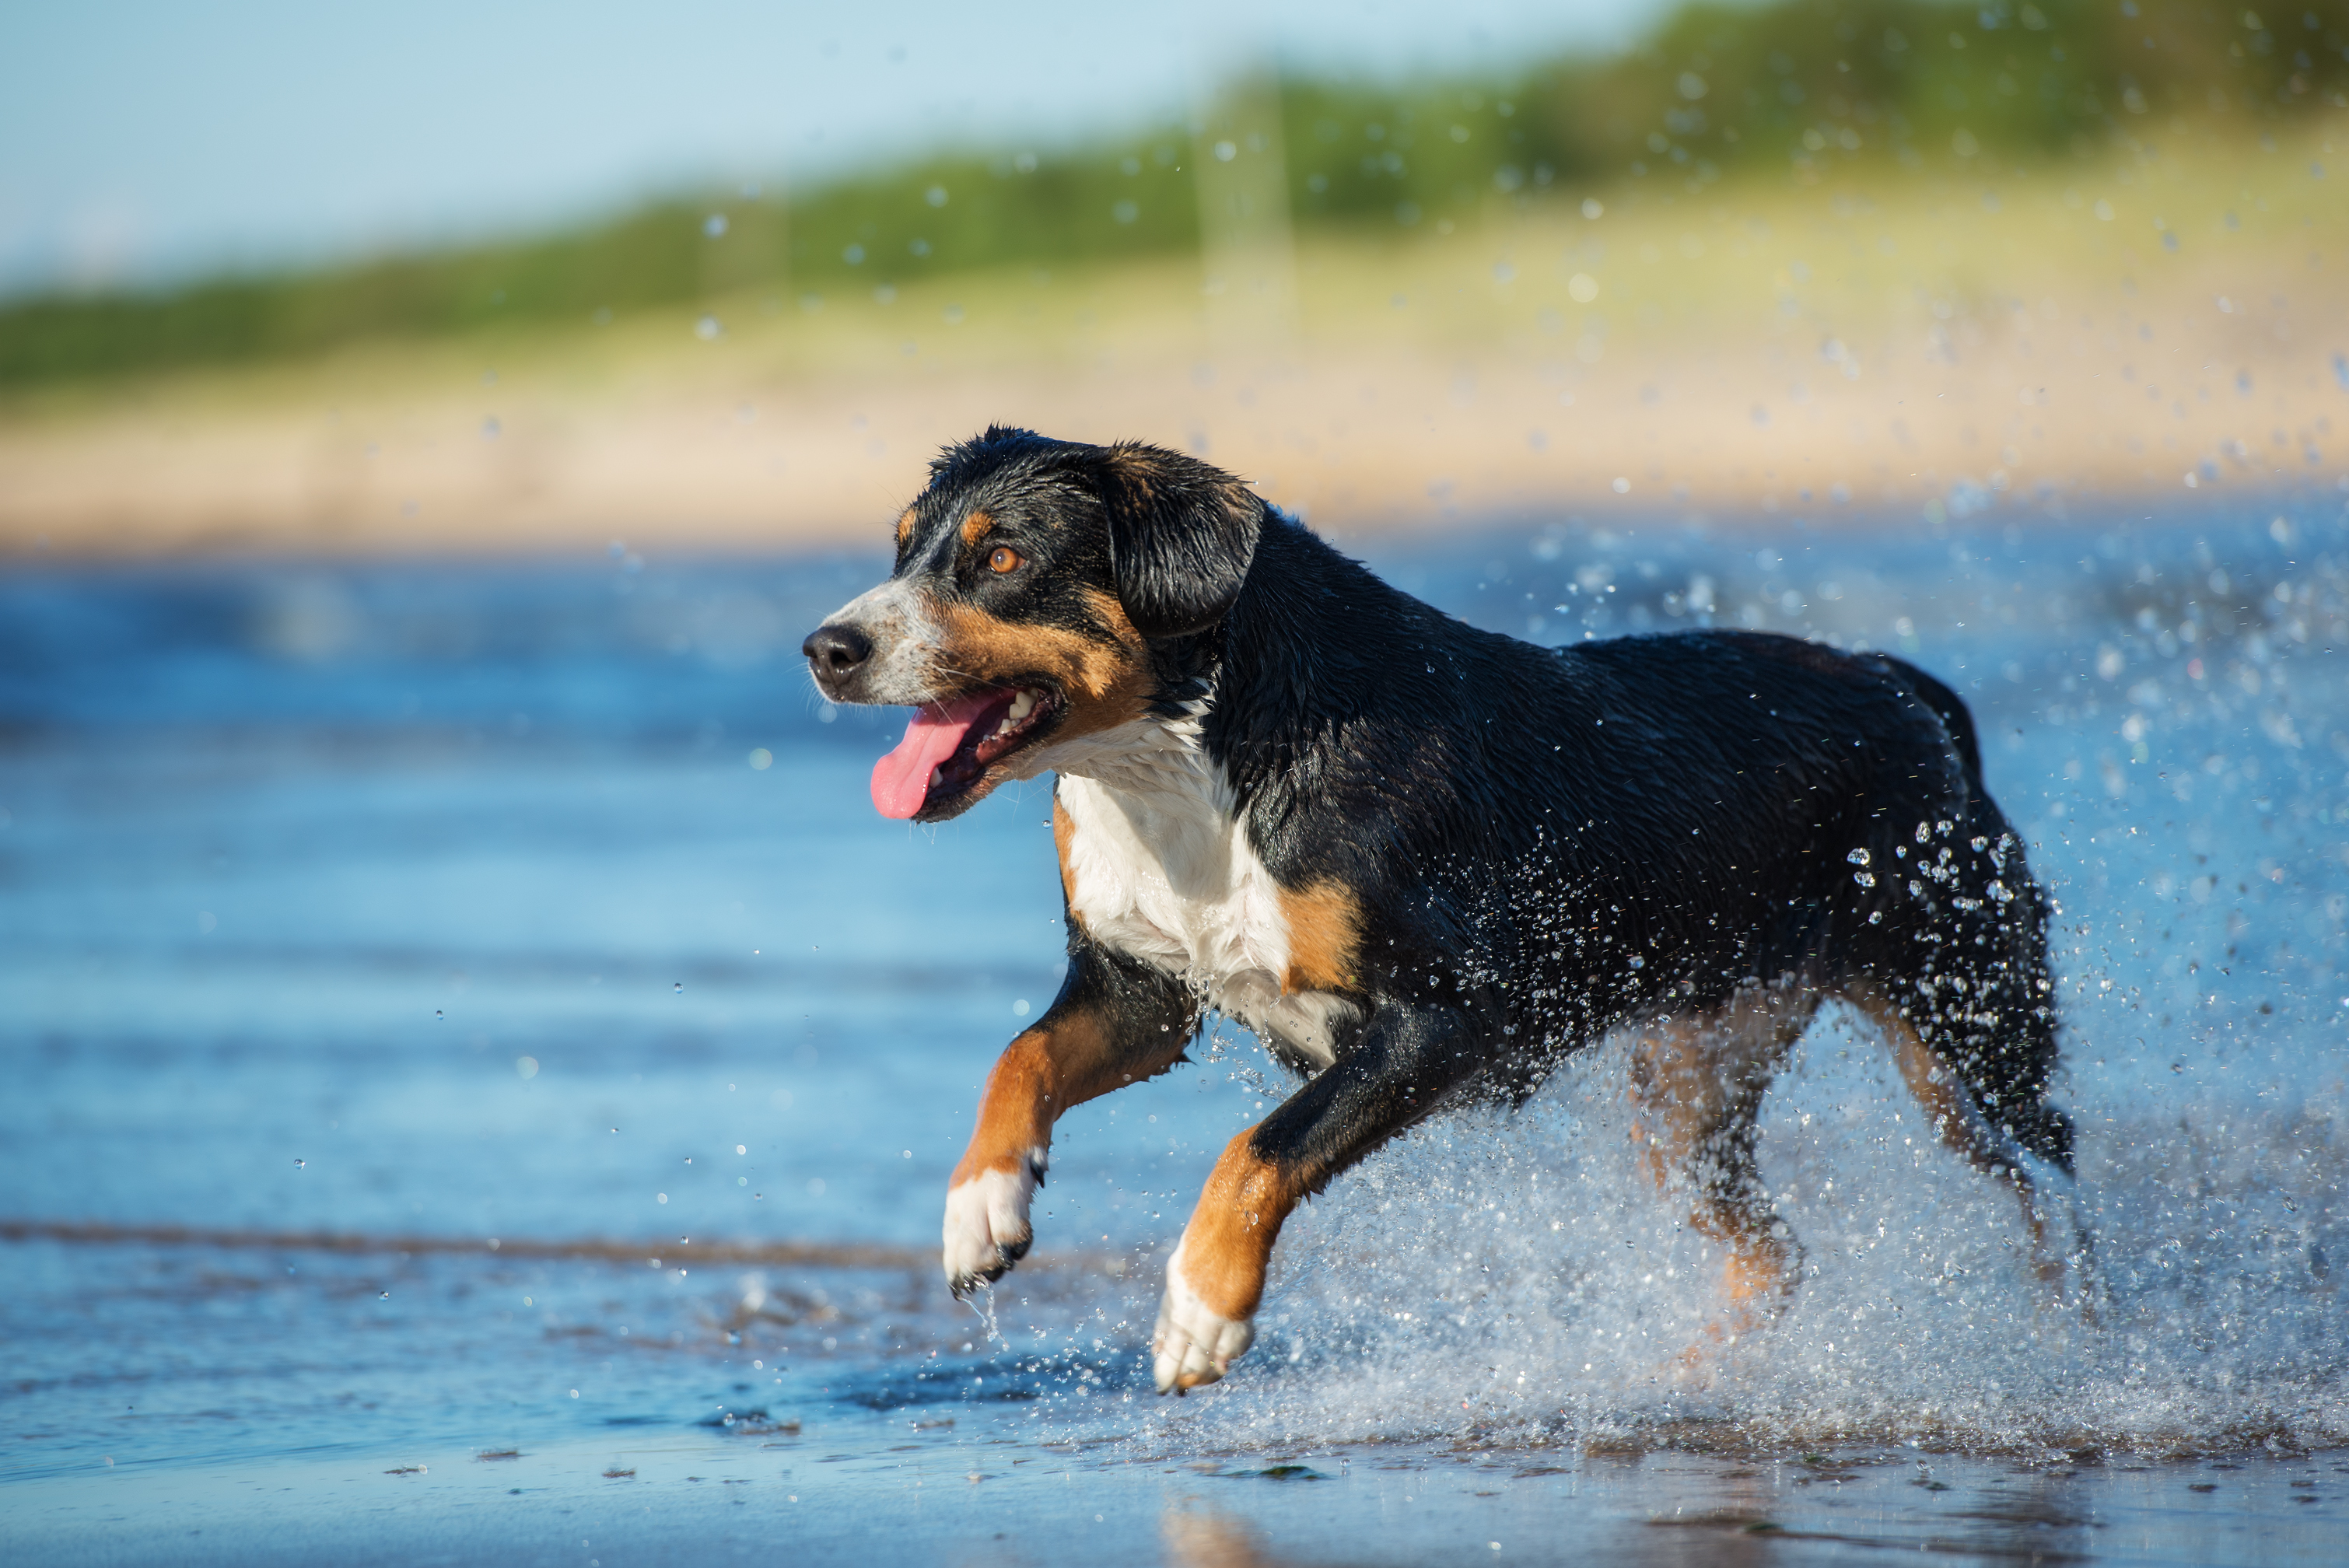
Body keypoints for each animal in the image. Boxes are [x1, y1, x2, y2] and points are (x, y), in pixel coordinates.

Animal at [803, 429, 2095, 1398]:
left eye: (1004, 556)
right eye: (906, 548)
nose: (827, 647)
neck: (1186, 766)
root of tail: (1901, 686)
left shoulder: (1447, 1019)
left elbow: (1256, 1151)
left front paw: (1199, 1312)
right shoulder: (1143, 995)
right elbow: (1019, 1058)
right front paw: (981, 1206)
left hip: (1968, 1033)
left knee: (2055, 1208)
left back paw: (2077, 1347)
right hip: (1685, 1091)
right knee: (1772, 1260)